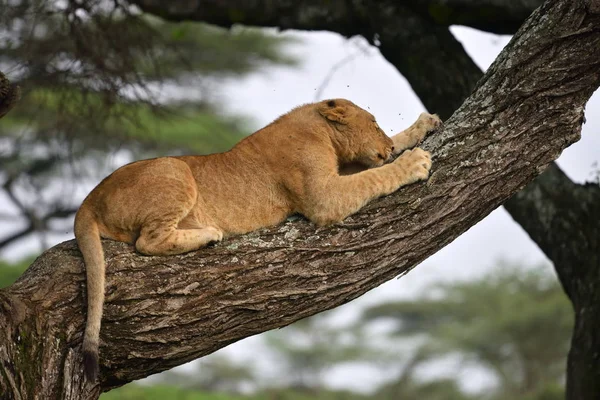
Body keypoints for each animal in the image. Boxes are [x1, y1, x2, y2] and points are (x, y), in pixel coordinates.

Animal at [75, 98, 440, 380]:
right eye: (374, 123)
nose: (388, 147)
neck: (319, 129)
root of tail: (90, 198)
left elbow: (373, 170)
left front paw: (421, 127)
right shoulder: (322, 195)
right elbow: (374, 176)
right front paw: (412, 161)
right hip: (174, 170)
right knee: (146, 242)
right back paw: (209, 234)